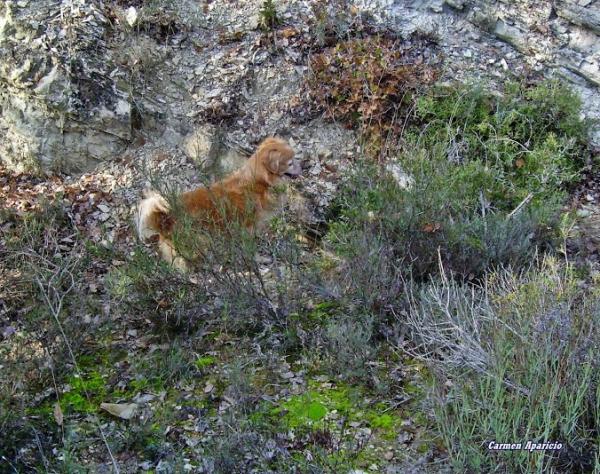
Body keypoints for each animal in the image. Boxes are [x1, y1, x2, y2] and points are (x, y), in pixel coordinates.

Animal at [135, 137, 300, 270]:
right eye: (290, 163)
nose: (302, 167)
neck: (259, 182)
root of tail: (165, 217)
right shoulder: (248, 228)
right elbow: (250, 248)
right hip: (198, 241)